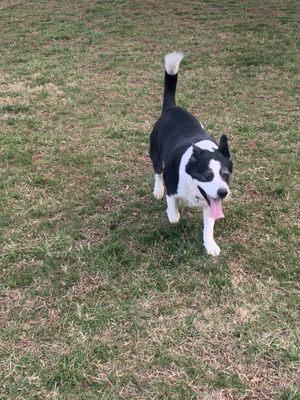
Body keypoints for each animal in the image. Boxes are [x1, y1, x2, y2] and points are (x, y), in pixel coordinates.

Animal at [149, 52, 232, 256]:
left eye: (226, 175)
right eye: (207, 175)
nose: (223, 192)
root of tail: (172, 108)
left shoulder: (211, 203)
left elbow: (208, 226)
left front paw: (210, 245)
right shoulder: (173, 190)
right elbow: (173, 215)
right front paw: (174, 213)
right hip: (155, 155)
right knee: (157, 172)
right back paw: (157, 190)